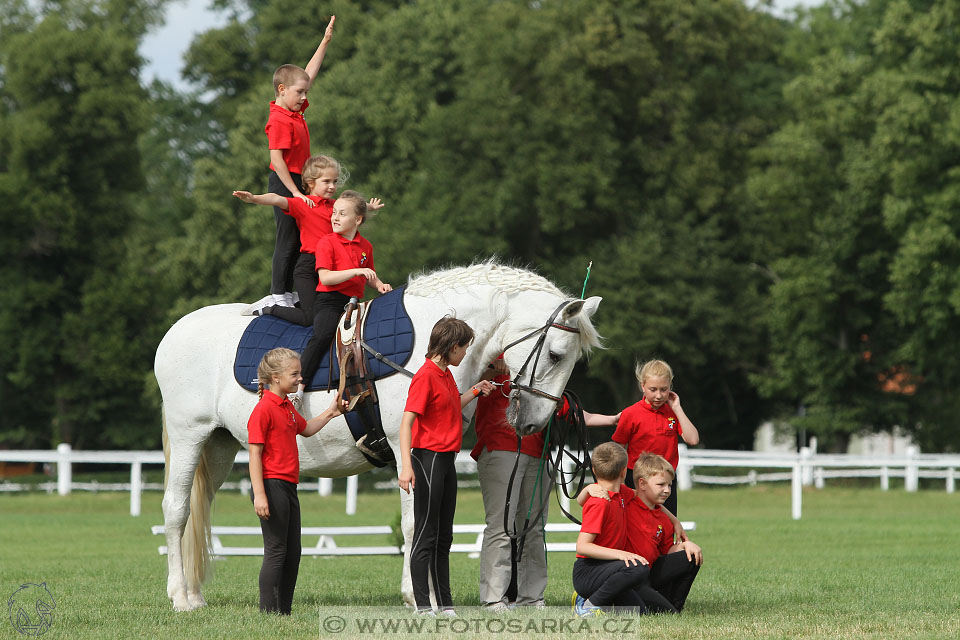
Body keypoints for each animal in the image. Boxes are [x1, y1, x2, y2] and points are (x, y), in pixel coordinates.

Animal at [155, 262, 600, 612]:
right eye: (557, 354)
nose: (536, 423)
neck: (430, 348)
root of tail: (174, 333)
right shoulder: (410, 452)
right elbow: (414, 522)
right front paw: (418, 597)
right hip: (189, 436)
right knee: (177, 510)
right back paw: (180, 597)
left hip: (218, 447)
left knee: (198, 511)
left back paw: (195, 595)